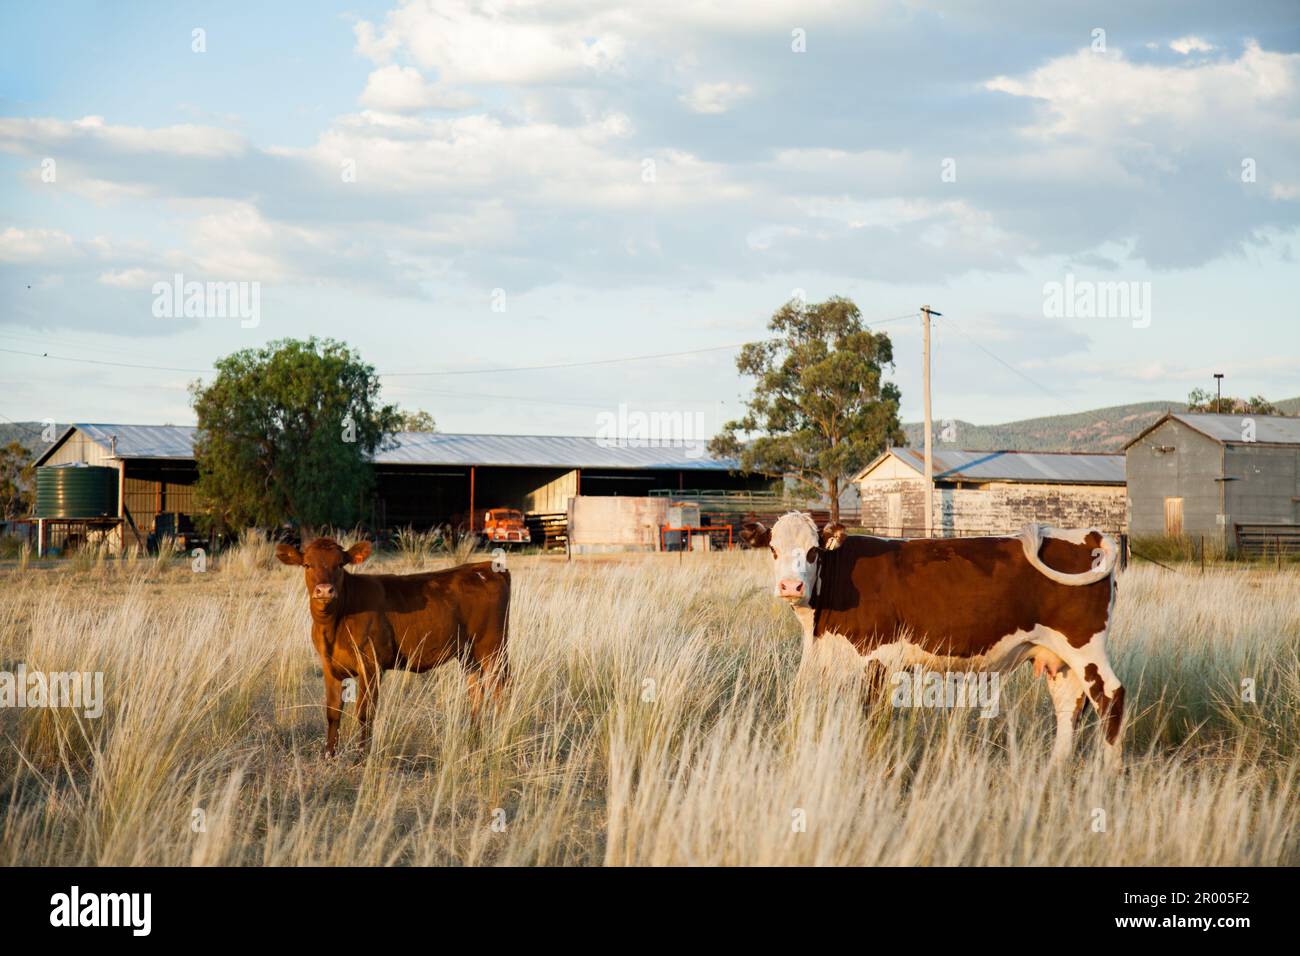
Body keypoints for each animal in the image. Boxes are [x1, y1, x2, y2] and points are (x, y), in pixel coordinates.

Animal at [276, 538, 509, 754]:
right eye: (307, 564)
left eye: (340, 564)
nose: (325, 591)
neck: (334, 625)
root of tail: (484, 567)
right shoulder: (329, 666)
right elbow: (333, 712)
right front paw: (329, 756)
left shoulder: (371, 664)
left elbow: (365, 712)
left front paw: (362, 757)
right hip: (469, 654)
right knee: (476, 691)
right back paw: (473, 740)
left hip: (493, 649)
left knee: (501, 690)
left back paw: (502, 737)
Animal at [748, 512, 1123, 764]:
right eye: (773, 549)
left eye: (813, 551)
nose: (791, 586)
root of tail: (1086, 535)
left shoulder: (878, 657)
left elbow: (871, 716)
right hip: (1058, 655)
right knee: (1069, 705)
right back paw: (1056, 768)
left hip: (1085, 645)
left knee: (1110, 697)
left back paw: (1108, 773)